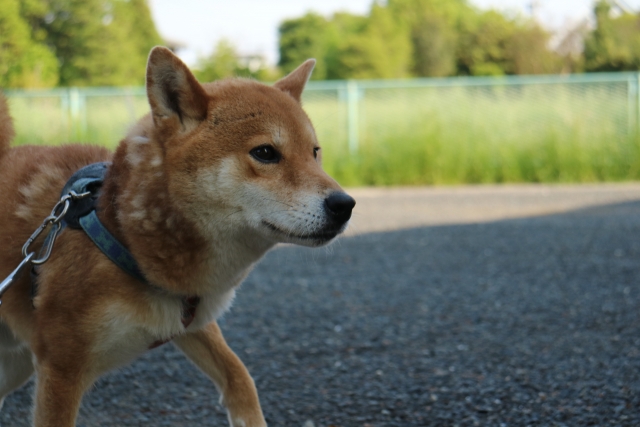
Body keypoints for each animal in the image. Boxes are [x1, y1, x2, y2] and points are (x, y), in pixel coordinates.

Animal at [0, 46, 356, 427]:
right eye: (265, 152)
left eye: (314, 152)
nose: (345, 204)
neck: (124, 231)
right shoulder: (61, 366)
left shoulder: (189, 320)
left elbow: (239, 376)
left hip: (16, 364)